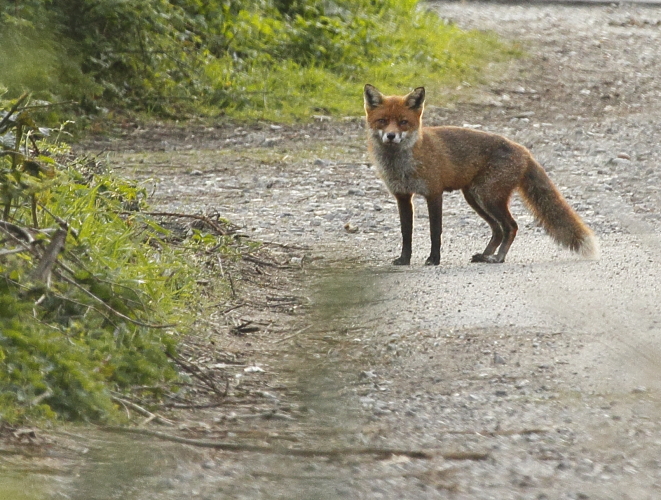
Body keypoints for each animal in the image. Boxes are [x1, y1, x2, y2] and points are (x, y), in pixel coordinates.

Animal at [364, 84, 600, 268]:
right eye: (382, 121)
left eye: (403, 122)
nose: (391, 136)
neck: (403, 164)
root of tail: (524, 150)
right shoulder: (402, 196)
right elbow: (406, 233)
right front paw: (404, 260)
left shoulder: (434, 192)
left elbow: (435, 231)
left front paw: (434, 259)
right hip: (475, 198)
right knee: (497, 229)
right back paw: (486, 255)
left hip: (488, 197)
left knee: (511, 227)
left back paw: (497, 258)